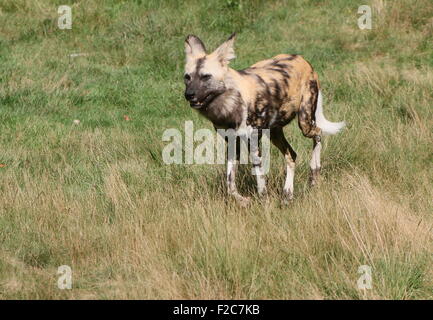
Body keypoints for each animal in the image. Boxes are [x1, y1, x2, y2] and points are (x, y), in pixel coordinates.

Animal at [182, 33, 344, 205]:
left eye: (206, 77)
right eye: (187, 77)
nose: (189, 94)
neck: (229, 103)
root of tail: (302, 59)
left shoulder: (253, 143)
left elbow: (259, 178)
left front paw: (264, 202)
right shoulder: (233, 143)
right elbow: (230, 184)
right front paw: (243, 201)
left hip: (305, 123)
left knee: (318, 134)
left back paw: (313, 175)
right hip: (274, 132)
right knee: (292, 155)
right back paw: (287, 194)